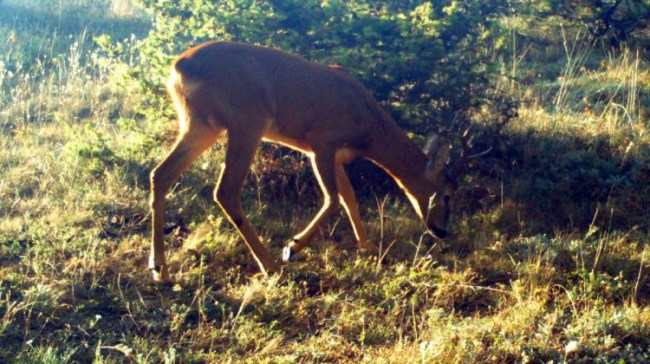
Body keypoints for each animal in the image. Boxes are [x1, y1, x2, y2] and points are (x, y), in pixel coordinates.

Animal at [148, 42, 486, 282]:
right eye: (447, 194)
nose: (441, 231)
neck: (368, 125)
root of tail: (179, 68)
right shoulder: (321, 142)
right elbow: (333, 198)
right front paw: (292, 246)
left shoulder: (335, 155)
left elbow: (350, 197)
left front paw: (368, 248)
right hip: (246, 122)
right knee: (225, 191)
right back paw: (271, 265)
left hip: (199, 124)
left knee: (160, 175)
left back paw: (160, 269)